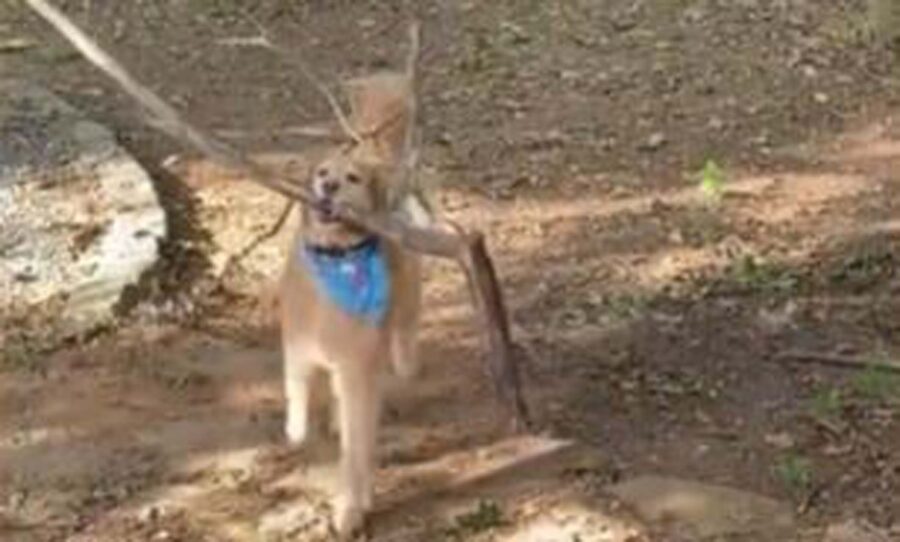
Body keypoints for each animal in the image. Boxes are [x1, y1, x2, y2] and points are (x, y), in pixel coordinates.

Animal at [278, 72, 428, 540]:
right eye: (322, 173)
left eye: (353, 180)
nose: (327, 187)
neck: (338, 258)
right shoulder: (297, 347)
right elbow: (296, 392)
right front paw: (297, 430)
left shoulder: (358, 372)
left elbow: (357, 449)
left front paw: (352, 507)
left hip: (405, 313)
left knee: (404, 343)